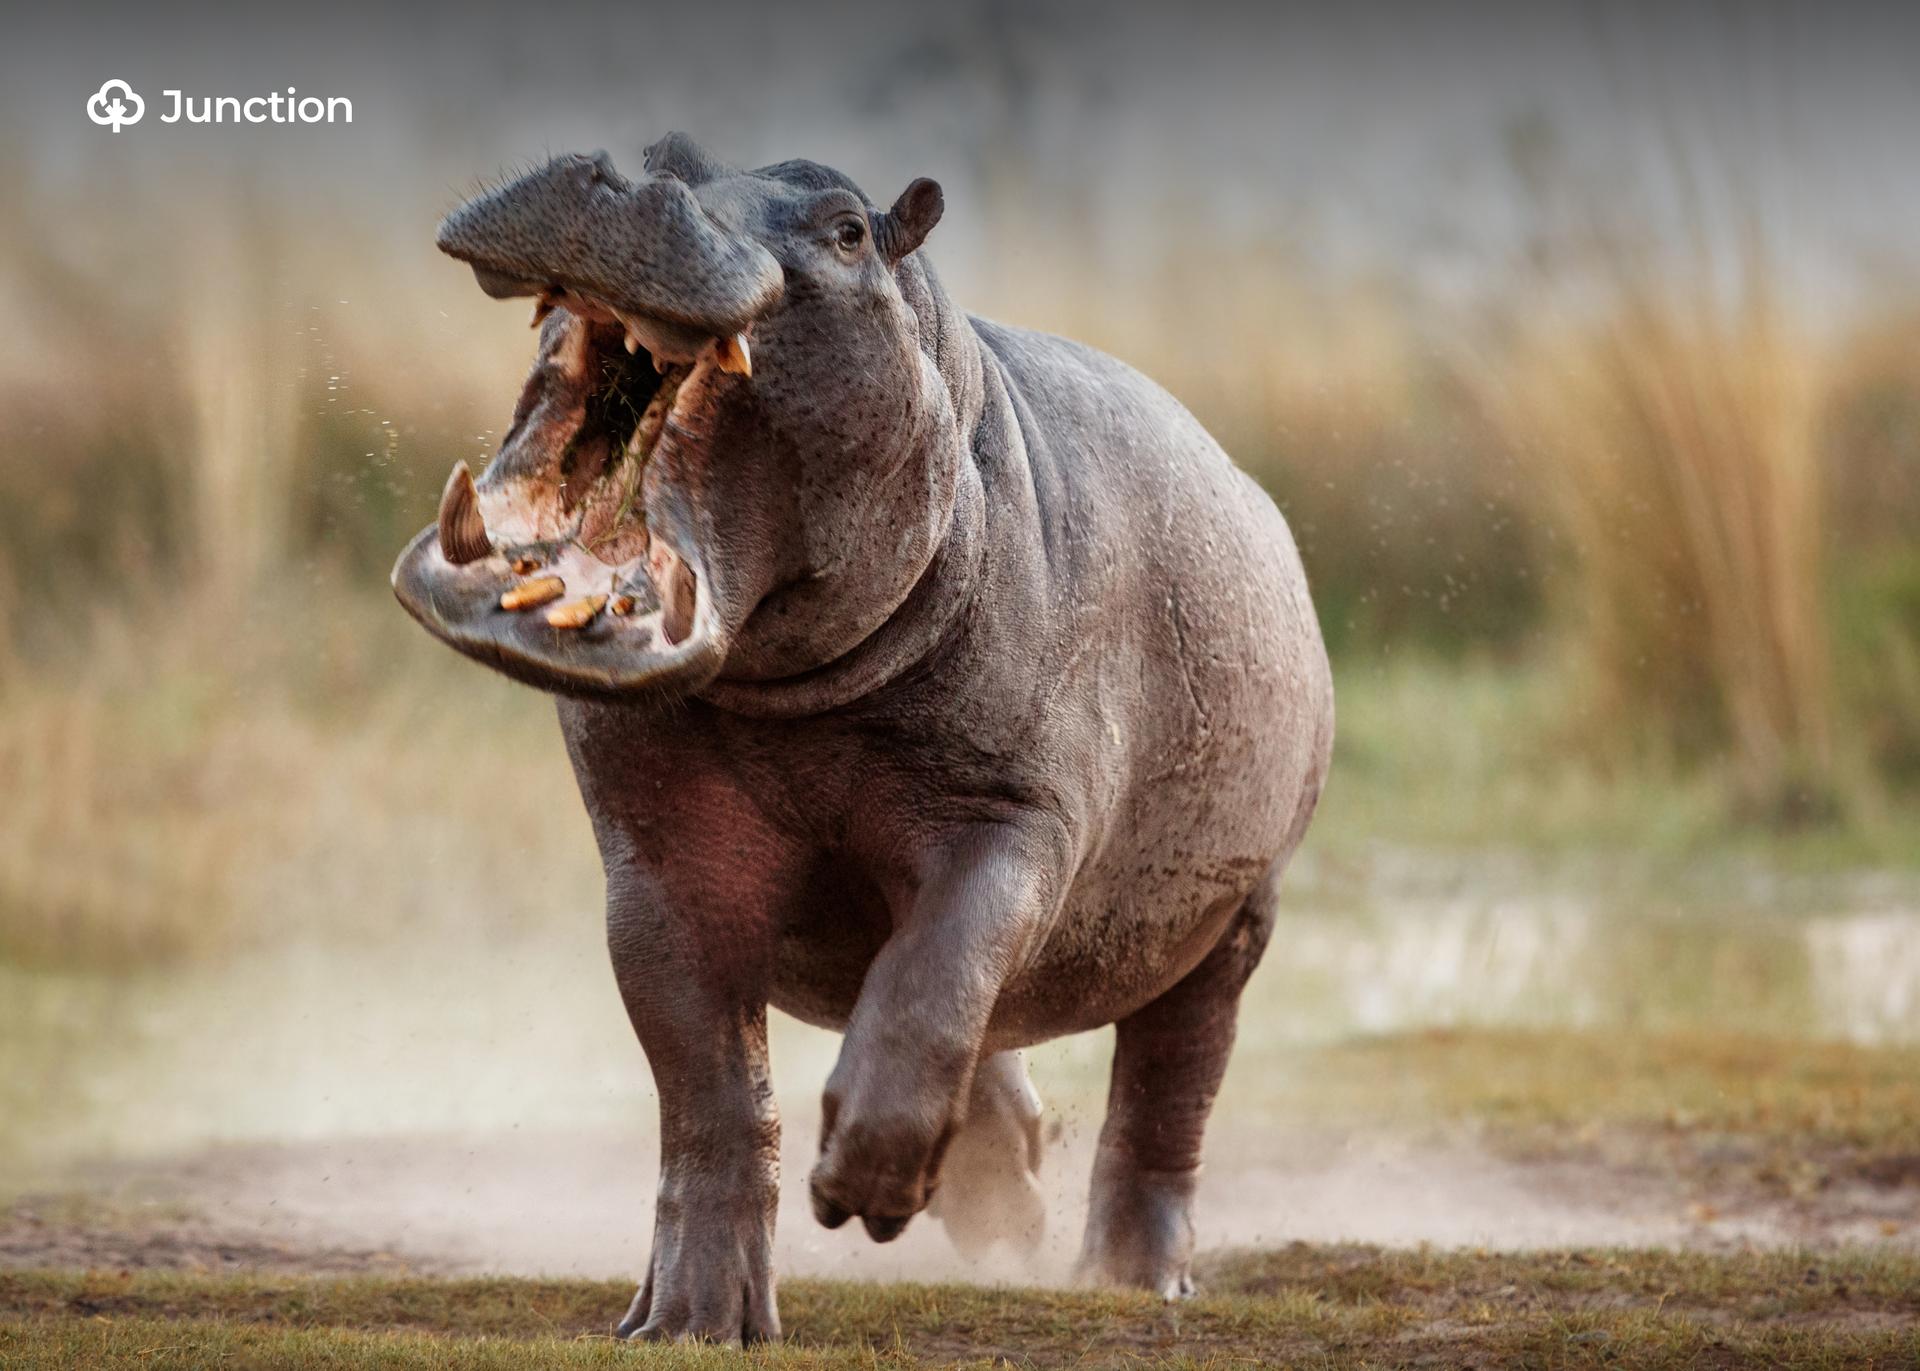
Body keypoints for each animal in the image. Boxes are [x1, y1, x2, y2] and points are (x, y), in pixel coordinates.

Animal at [392, 133, 1333, 1343]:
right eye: (664, 151)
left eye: (846, 228)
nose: (617, 179)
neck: (788, 695)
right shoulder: (656, 864)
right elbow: (710, 1094)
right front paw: (688, 1320)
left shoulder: (1014, 817)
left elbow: (940, 974)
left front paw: (867, 1190)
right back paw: (1005, 1198)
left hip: (1237, 915)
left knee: (1168, 1088)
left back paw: (1131, 1276)